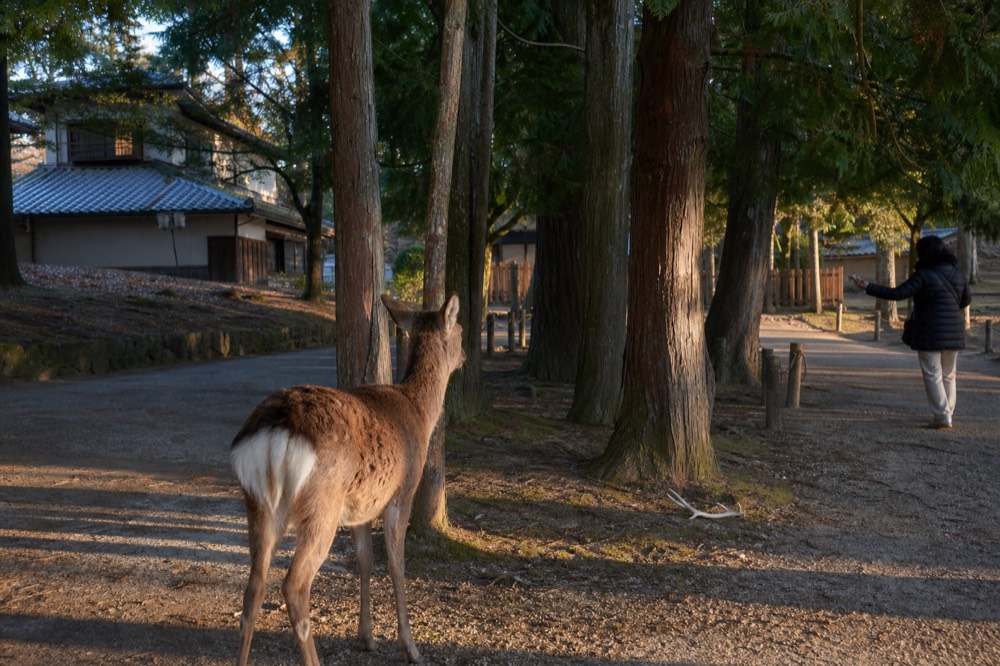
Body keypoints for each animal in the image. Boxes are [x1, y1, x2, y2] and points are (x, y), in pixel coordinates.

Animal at [230, 293, 465, 666]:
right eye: (460, 330)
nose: (466, 353)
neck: (420, 412)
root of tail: (273, 430)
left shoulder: (360, 507)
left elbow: (365, 561)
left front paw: (366, 638)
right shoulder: (402, 491)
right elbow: (396, 565)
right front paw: (411, 647)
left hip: (257, 503)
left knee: (253, 588)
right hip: (321, 505)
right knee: (294, 585)